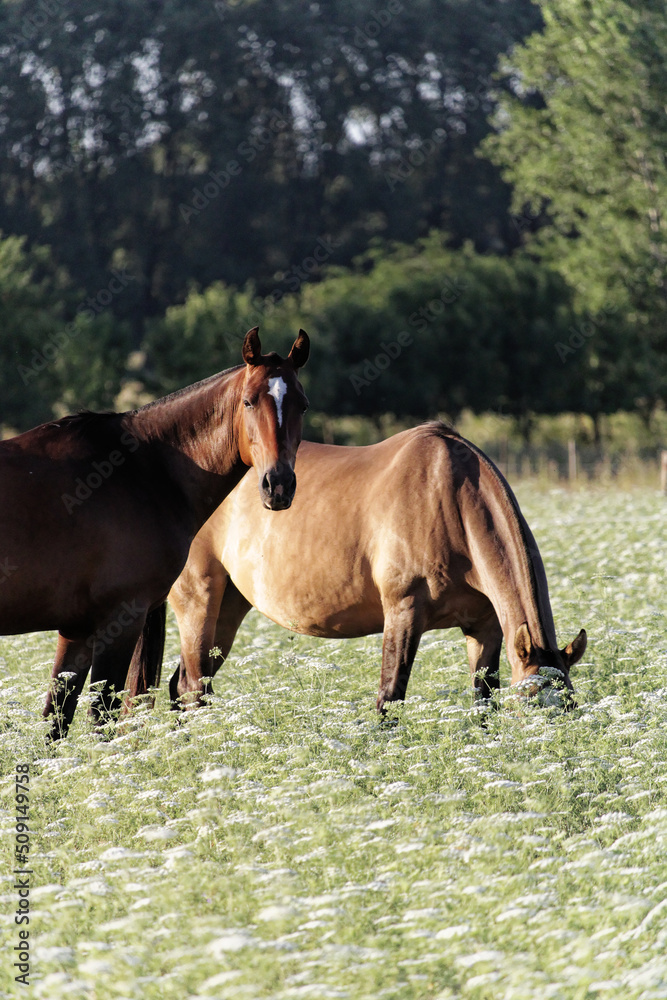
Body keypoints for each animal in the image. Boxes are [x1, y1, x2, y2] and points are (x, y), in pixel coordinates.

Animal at [0, 327, 309, 738]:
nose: (278, 485)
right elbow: (101, 718)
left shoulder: (76, 630)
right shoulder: (119, 620)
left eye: (302, 405)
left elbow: (57, 720)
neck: (143, 469)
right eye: (248, 402)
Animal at [165, 423, 586, 713]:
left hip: (230, 605)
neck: (448, 498)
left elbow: (483, 701)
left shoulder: (485, 628)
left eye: (570, 706)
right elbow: (390, 699)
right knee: (191, 687)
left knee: (183, 683)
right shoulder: (403, 613)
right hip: (199, 600)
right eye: (531, 702)